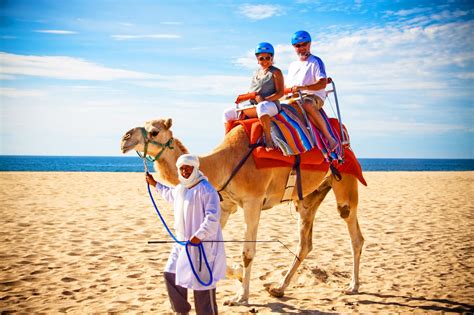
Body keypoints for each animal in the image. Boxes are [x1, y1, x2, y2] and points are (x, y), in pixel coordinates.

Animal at [120, 118, 364, 306]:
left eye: (154, 131)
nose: (125, 138)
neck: (223, 164)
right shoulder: (225, 205)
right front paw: (236, 276)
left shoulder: (253, 201)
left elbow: (247, 253)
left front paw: (241, 297)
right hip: (307, 198)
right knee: (305, 243)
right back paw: (279, 288)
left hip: (345, 179)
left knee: (354, 234)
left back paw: (352, 286)